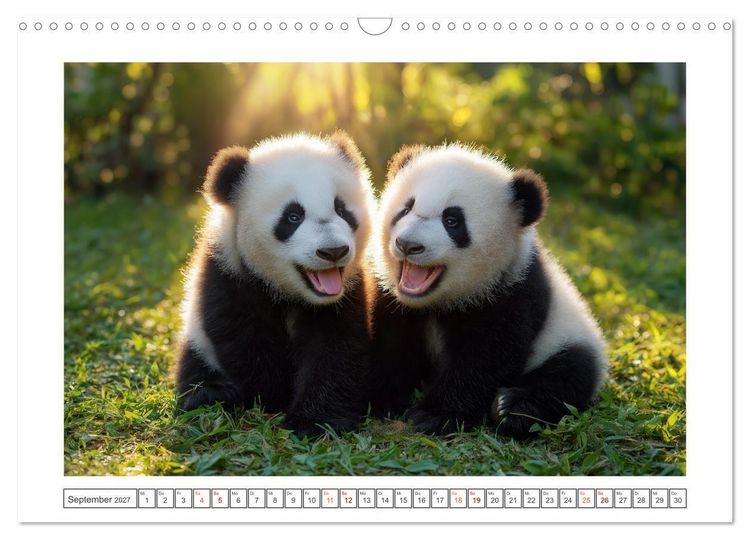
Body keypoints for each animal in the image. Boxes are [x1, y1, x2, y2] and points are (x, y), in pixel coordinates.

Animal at [176, 132, 376, 438]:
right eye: (293, 217)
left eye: (342, 210)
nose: (333, 251)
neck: (290, 292)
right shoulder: (230, 273)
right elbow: (245, 338)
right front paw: (273, 398)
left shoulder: (347, 291)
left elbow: (335, 346)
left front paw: (314, 421)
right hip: (197, 339)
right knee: (195, 366)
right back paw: (210, 395)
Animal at [369, 143, 607, 438]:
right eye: (405, 209)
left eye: (452, 220)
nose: (407, 244)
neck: (440, 302)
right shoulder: (393, 298)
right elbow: (391, 344)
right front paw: (386, 400)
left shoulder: (511, 291)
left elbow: (486, 358)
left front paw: (434, 416)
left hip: (566, 336)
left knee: (569, 373)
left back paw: (514, 409)